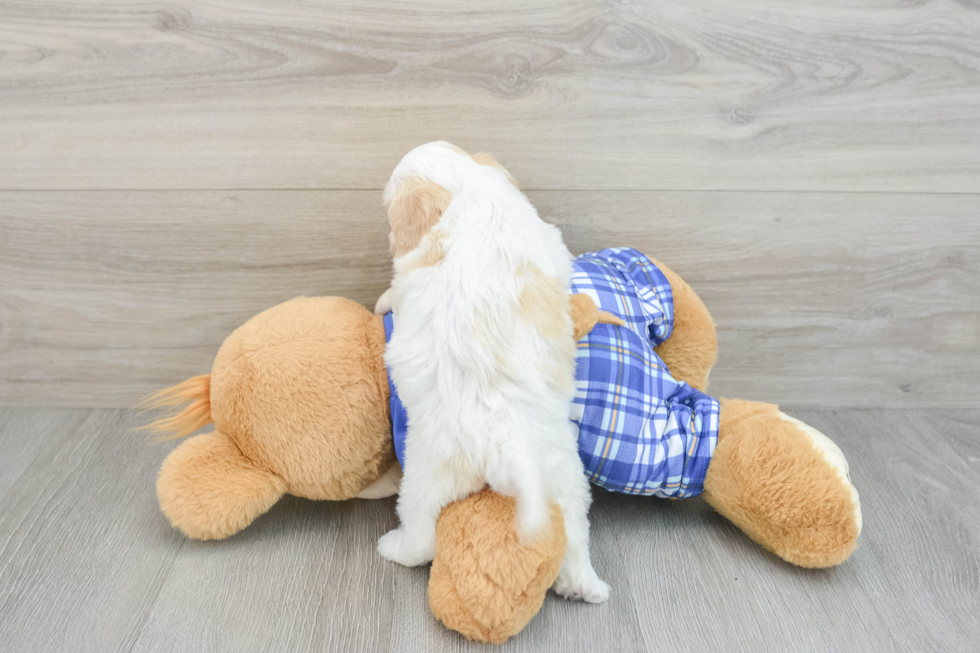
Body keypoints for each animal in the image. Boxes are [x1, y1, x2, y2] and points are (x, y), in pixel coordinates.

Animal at [378, 141, 608, 600]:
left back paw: (391, 547)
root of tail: (504, 442)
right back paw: (588, 587)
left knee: (420, 539)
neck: (469, 188)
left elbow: (396, 288)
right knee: (574, 539)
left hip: (423, 475)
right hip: (564, 480)